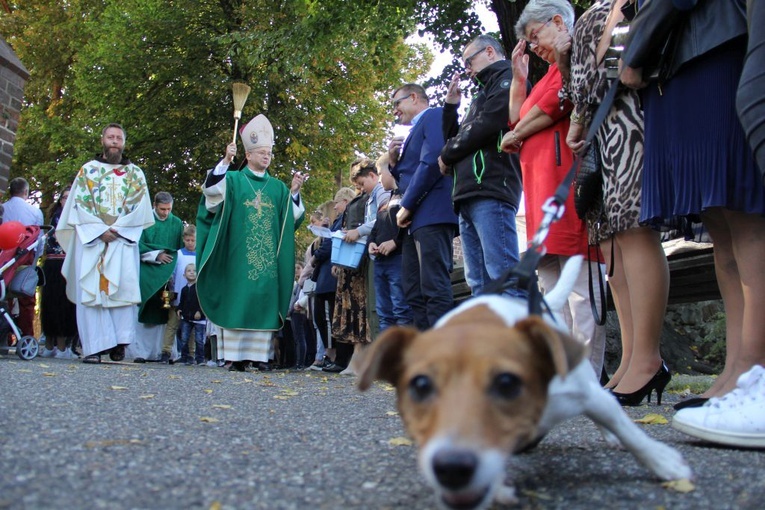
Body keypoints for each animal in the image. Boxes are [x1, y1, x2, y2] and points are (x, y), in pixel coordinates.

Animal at [358, 256, 692, 510]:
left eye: (507, 383)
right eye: (420, 385)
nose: (452, 468)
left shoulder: (585, 395)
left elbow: (631, 432)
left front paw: (663, 462)